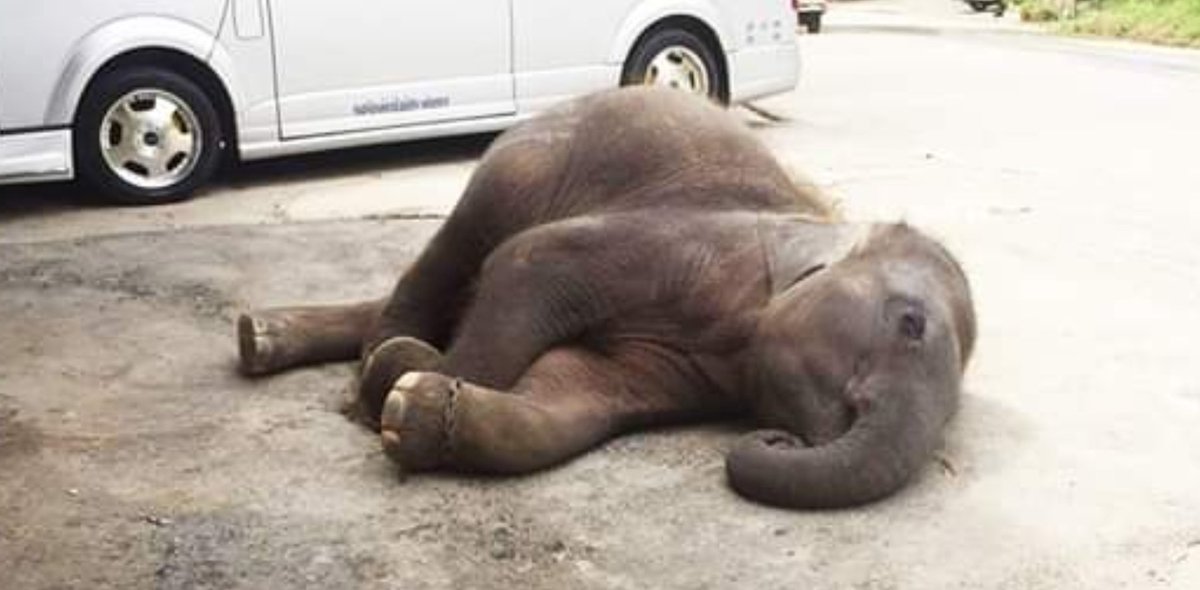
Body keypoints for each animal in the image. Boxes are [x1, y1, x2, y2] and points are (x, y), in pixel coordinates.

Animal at [237, 87, 976, 509]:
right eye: (911, 323)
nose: (780, 437)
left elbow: (569, 399)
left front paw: (413, 406)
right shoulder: (677, 243)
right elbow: (529, 263)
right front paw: (396, 383)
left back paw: (262, 337)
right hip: (523, 160)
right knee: (462, 248)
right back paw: (371, 362)